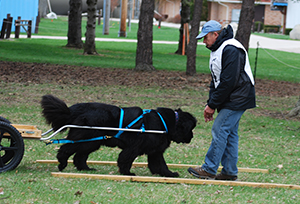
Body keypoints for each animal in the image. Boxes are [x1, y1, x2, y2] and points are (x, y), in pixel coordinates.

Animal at [41, 95, 197, 177]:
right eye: (190, 129)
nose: (192, 137)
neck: (167, 122)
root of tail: (73, 109)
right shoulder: (134, 147)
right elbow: (125, 159)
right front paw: (127, 173)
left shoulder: (155, 151)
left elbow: (160, 164)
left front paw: (169, 174)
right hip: (84, 137)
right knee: (66, 148)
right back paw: (62, 163)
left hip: (91, 142)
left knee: (79, 156)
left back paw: (86, 169)